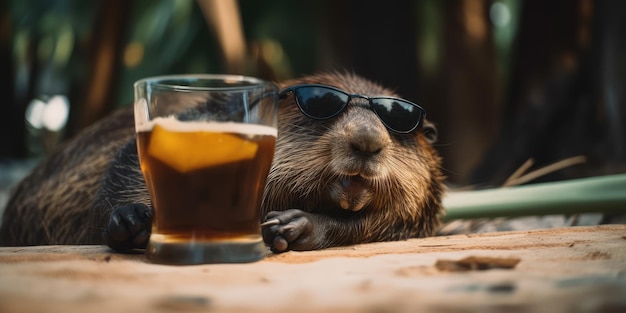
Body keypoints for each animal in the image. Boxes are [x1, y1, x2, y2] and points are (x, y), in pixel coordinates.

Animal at [0, 72, 444, 252]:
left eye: (399, 123)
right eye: (320, 106)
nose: (368, 141)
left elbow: (390, 223)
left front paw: (291, 226)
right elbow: (126, 169)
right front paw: (130, 220)